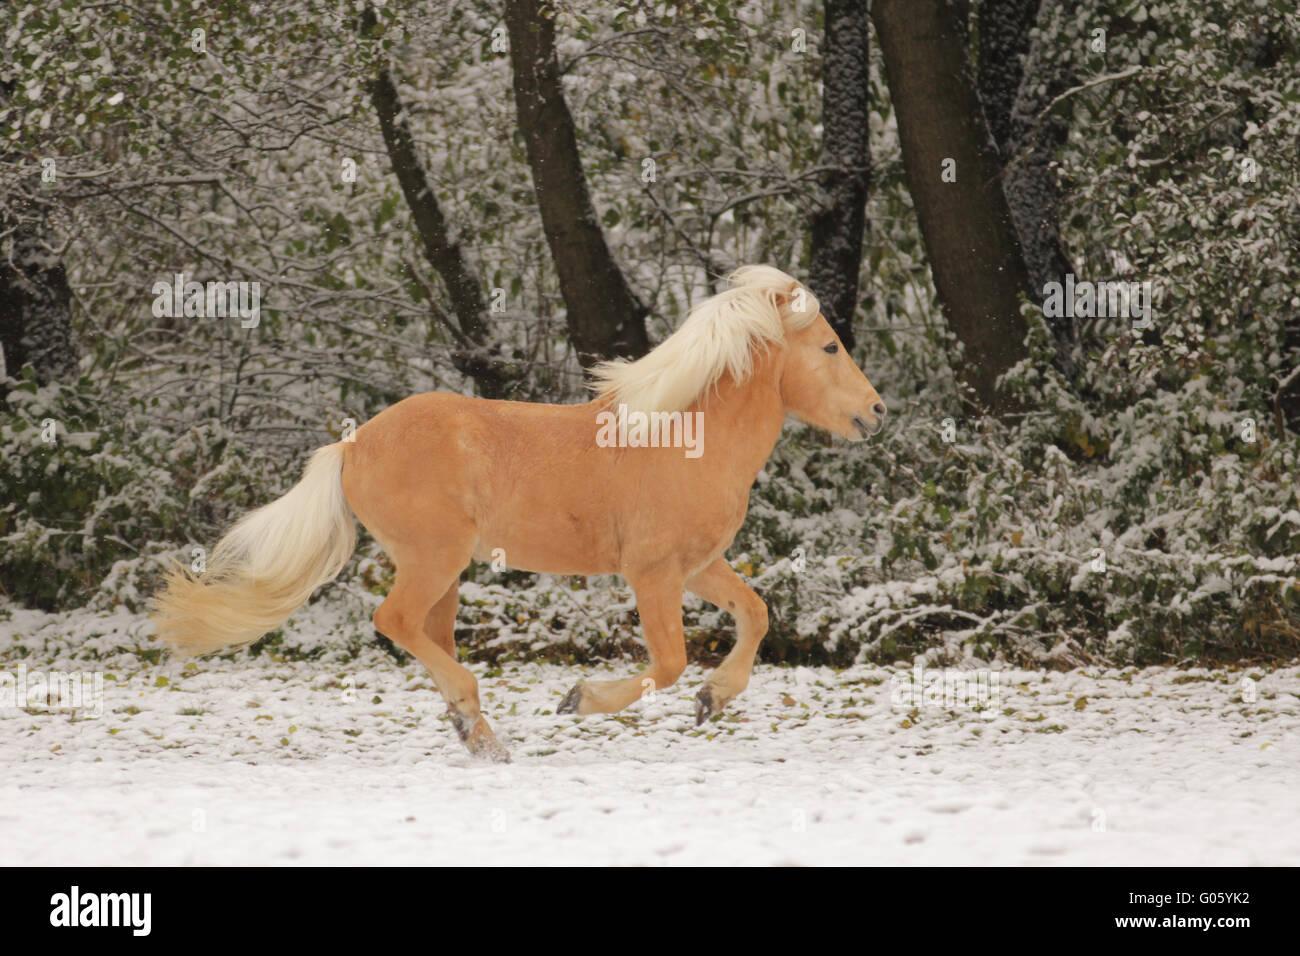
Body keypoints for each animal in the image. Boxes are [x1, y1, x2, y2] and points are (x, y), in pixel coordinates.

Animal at [149, 265, 883, 759]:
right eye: (828, 347)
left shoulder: (699, 567)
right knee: (395, 621)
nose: (876, 412)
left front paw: (713, 700)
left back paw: (477, 734)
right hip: (433, 557)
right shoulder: (652, 573)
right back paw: (477, 719)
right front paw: (581, 701)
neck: (683, 439)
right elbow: (672, 661)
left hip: (443, 571)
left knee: (428, 635)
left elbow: (756, 614)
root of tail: (351, 444)